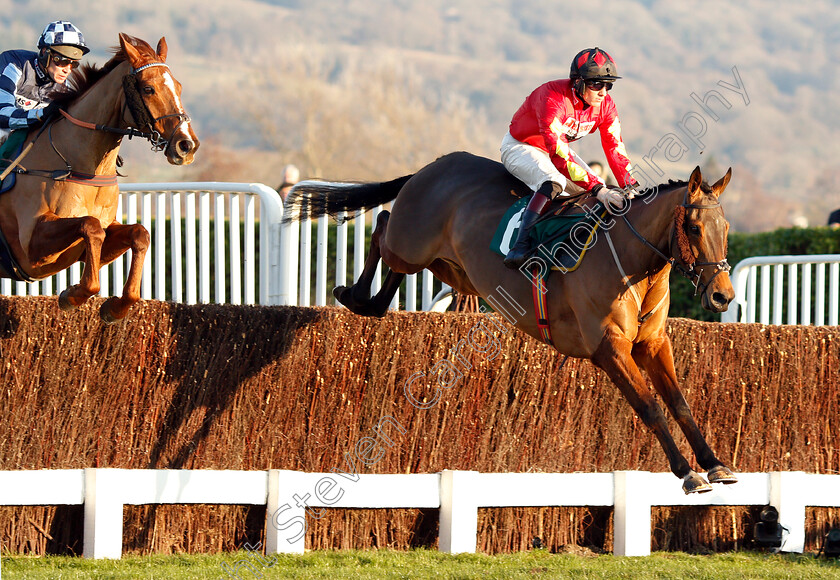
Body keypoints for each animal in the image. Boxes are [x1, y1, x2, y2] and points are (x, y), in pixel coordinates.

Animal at [0, 32, 199, 322]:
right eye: (148, 89)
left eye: (179, 87)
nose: (187, 145)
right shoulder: (32, 252)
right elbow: (90, 226)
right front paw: (72, 295)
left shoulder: (88, 247)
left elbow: (139, 233)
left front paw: (117, 306)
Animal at [286, 152, 740, 492]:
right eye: (694, 227)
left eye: (726, 227)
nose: (723, 295)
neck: (632, 260)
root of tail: (430, 167)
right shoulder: (608, 348)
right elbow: (650, 406)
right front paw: (687, 473)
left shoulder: (652, 344)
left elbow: (679, 403)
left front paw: (715, 464)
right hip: (412, 244)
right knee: (381, 229)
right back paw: (353, 294)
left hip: (454, 268)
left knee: (391, 261)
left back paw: (370, 303)